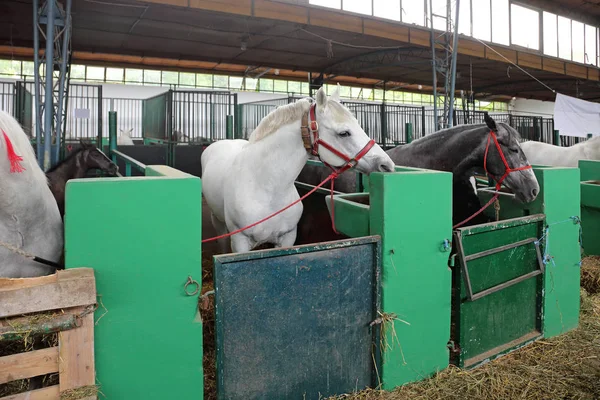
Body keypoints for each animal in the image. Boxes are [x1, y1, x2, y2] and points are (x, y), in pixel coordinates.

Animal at [202, 87, 396, 253]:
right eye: (344, 133)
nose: (386, 166)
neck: (266, 187)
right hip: (218, 222)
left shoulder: (287, 239)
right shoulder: (240, 242)